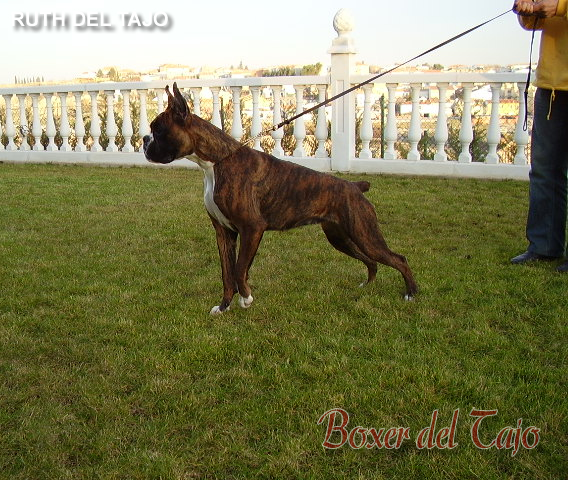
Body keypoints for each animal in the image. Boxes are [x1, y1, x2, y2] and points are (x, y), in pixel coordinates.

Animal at [143, 83, 417, 314]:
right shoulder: (223, 232)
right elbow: (227, 273)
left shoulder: (252, 228)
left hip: (364, 233)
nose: (145, 140)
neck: (216, 162)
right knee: (371, 261)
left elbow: (239, 269)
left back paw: (411, 294)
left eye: (158, 130)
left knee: (398, 259)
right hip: (341, 237)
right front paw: (223, 307)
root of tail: (354, 186)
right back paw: (368, 285)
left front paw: (246, 298)